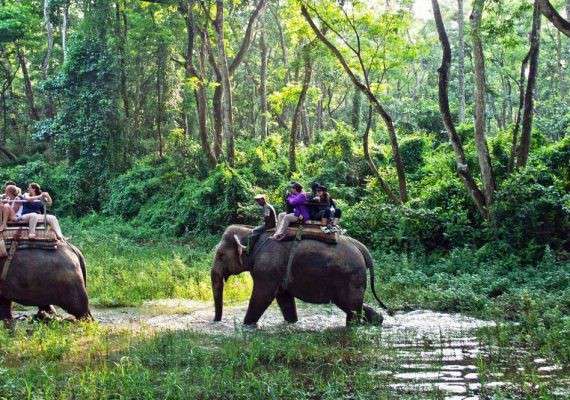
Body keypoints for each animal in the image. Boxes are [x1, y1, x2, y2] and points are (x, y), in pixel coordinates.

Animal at [211, 223, 392, 326]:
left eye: (220, 255)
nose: (216, 321)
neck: (251, 232)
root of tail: (362, 249)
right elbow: (283, 297)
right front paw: (292, 322)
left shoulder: (267, 267)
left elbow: (263, 296)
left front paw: (247, 326)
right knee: (352, 306)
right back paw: (378, 320)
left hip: (350, 277)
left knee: (351, 307)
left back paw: (354, 326)